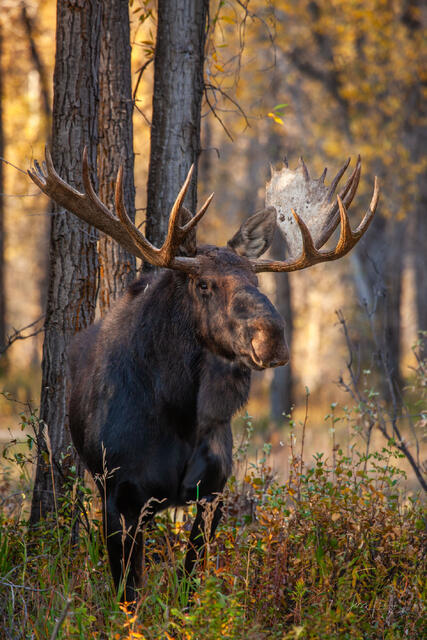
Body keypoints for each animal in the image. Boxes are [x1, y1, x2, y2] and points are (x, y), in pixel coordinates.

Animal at [28, 149, 379, 602]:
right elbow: (128, 591)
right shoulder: (119, 494)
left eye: (255, 277)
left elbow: (190, 577)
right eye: (205, 284)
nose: (273, 337)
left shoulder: (213, 491)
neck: (179, 416)